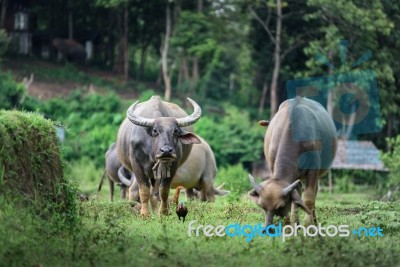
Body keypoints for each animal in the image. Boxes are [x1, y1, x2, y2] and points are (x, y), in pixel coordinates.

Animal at [250, 98, 338, 228]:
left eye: (281, 206)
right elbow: (296, 196)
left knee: (314, 192)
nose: (268, 227)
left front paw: (308, 224)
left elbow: (309, 197)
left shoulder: (314, 168)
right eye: (261, 206)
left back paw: (314, 221)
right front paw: (291, 223)